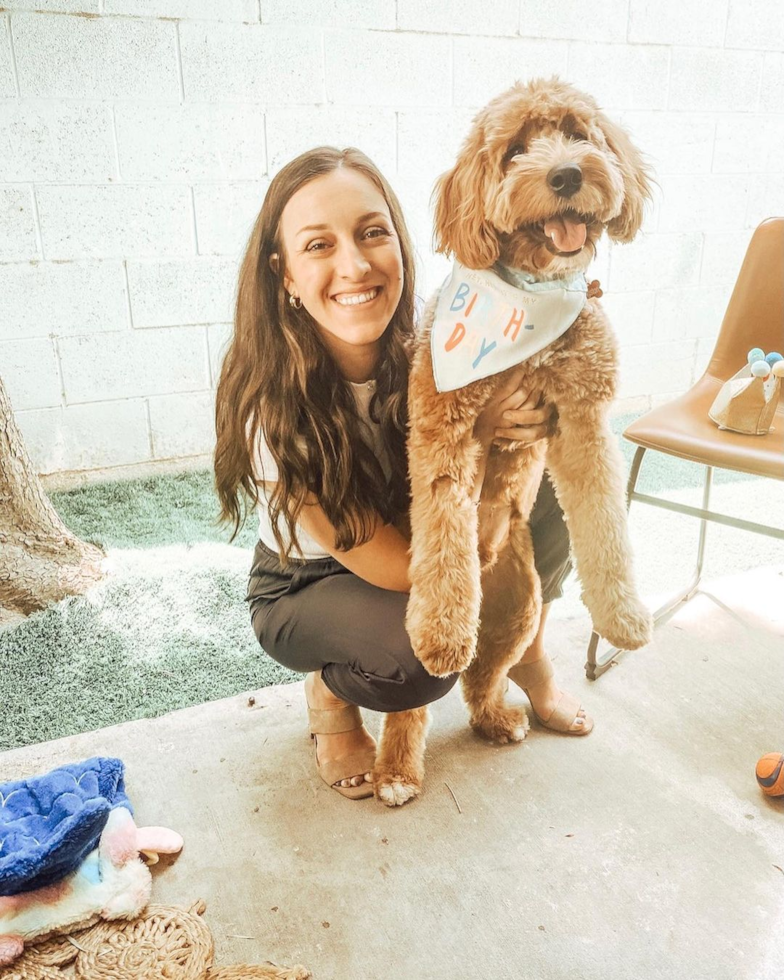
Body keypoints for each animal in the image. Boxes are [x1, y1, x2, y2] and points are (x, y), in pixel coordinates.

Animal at [370, 78, 652, 804]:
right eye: (515, 150)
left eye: (580, 133)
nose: (567, 174)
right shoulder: (443, 420)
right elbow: (444, 519)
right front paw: (441, 629)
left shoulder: (583, 417)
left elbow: (607, 524)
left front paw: (624, 617)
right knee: (425, 692)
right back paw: (396, 770)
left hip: (519, 611)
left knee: (484, 675)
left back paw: (498, 718)